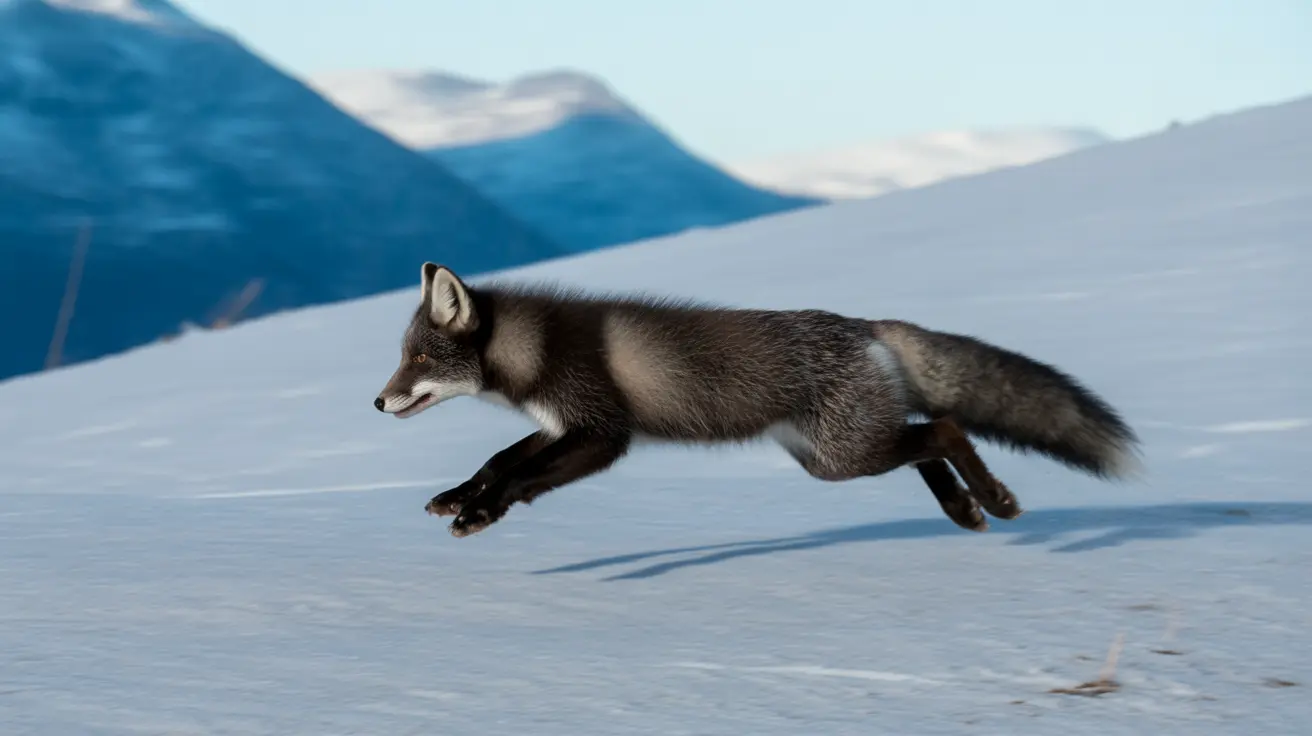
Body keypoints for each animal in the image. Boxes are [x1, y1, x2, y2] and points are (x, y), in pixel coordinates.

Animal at [375, 262, 1141, 539]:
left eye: (418, 359)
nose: (378, 404)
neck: (541, 350)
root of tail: (863, 326)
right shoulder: (561, 425)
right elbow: (500, 458)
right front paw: (458, 497)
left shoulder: (602, 433)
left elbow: (522, 477)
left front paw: (481, 514)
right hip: (832, 459)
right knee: (925, 438)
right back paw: (964, 509)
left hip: (843, 453)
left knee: (947, 427)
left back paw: (994, 501)